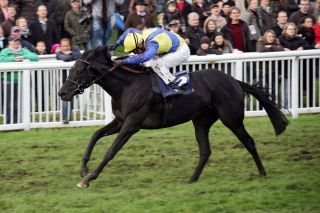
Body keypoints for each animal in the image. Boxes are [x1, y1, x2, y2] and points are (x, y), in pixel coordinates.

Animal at [58, 46, 290, 188]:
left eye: (79, 70)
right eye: (72, 68)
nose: (62, 93)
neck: (127, 86)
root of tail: (235, 81)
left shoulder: (132, 124)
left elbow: (111, 150)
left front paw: (88, 178)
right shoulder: (120, 121)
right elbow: (95, 135)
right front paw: (83, 169)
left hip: (231, 119)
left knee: (248, 141)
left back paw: (262, 173)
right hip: (201, 121)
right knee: (205, 151)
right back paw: (192, 179)